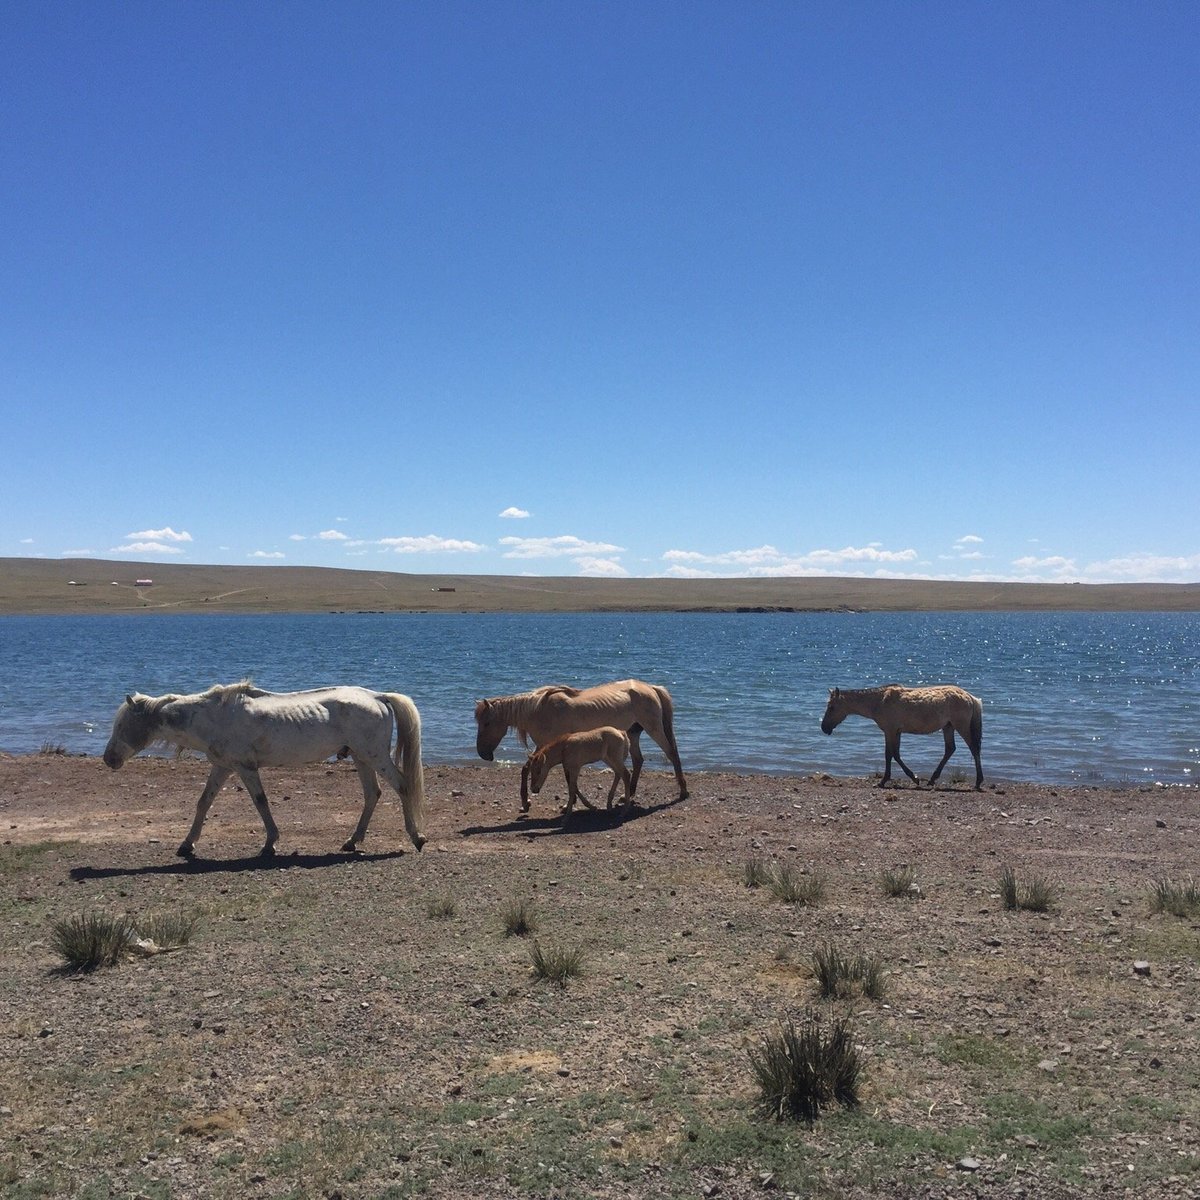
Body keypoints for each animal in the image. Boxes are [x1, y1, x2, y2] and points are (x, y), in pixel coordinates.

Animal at [102, 681, 427, 859]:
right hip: (361, 757)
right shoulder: (222, 767)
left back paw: (417, 837)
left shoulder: (245, 768)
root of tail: (378, 696)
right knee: (373, 794)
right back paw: (351, 841)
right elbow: (203, 803)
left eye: (124, 724)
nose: (108, 759)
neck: (212, 718)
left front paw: (269, 844)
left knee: (402, 785)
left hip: (374, 756)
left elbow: (260, 802)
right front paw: (186, 845)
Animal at [472, 681, 691, 811]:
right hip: (633, 732)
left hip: (653, 728)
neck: (539, 710)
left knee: (671, 753)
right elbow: (527, 769)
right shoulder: (544, 746)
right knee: (638, 761)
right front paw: (526, 802)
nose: (483, 754)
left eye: (487, 723)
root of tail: (651, 687)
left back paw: (682, 792)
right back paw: (627, 795)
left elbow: (567, 776)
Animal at [825, 686, 984, 787]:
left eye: (831, 707)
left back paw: (978, 782)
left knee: (974, 749)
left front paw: (885, 781)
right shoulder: (896, 732)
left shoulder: (889, 731)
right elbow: (895, 754)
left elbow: (889, 754)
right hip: (948, 727)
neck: (879, 701)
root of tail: (970, 697)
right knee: (950, 749)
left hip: (961, 726)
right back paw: (932, 780)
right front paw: (913, 778)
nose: (824, 728)